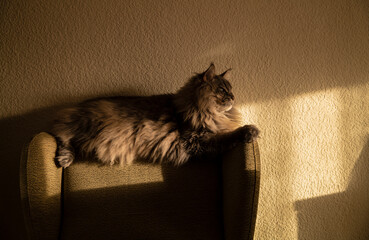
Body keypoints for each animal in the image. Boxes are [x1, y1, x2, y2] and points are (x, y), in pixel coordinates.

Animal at [51, 64, 258, 169]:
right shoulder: (195, 141)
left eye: (231, 89)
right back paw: (64, 159)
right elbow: (226, 137)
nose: (233, 97)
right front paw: (250, 130)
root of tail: (78, 106)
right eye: (222, 90)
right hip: (86, 125)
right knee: (60, 134)